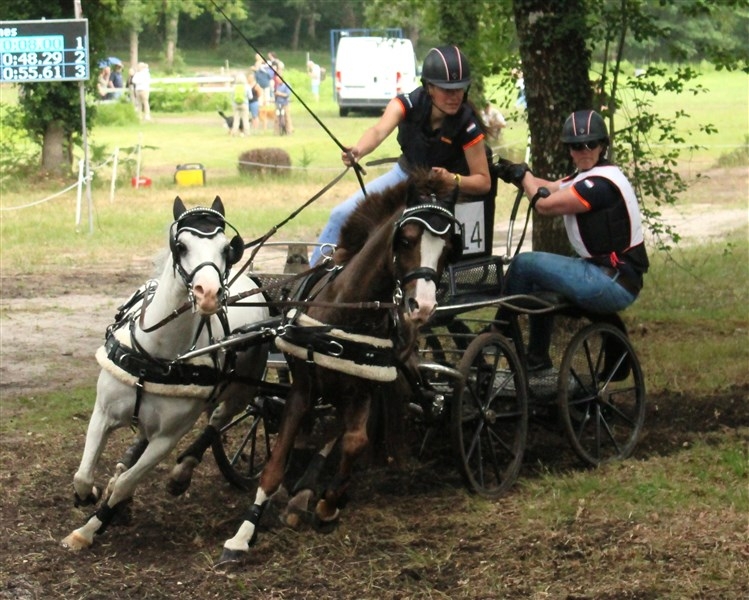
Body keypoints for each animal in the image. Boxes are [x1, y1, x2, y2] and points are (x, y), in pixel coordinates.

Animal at [62, 196, 270, 550]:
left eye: (226, 248)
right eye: (181, 246)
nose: (208, 293)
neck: (157, 352)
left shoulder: (167, 438)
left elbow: (127, 483)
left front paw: (91, 527)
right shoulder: (102, 412)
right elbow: (84, 475)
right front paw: (90, 496)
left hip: (242, 391)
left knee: (218, 421)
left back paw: (182, 472)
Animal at [217, 169, 462, 565]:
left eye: (449, 248)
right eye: (407, 239)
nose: (422, 307)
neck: (346, 312)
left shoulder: (361, 390)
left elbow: (354, 442)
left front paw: (328, 504)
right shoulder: (303, 390)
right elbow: (275, 464)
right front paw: (243, 535)